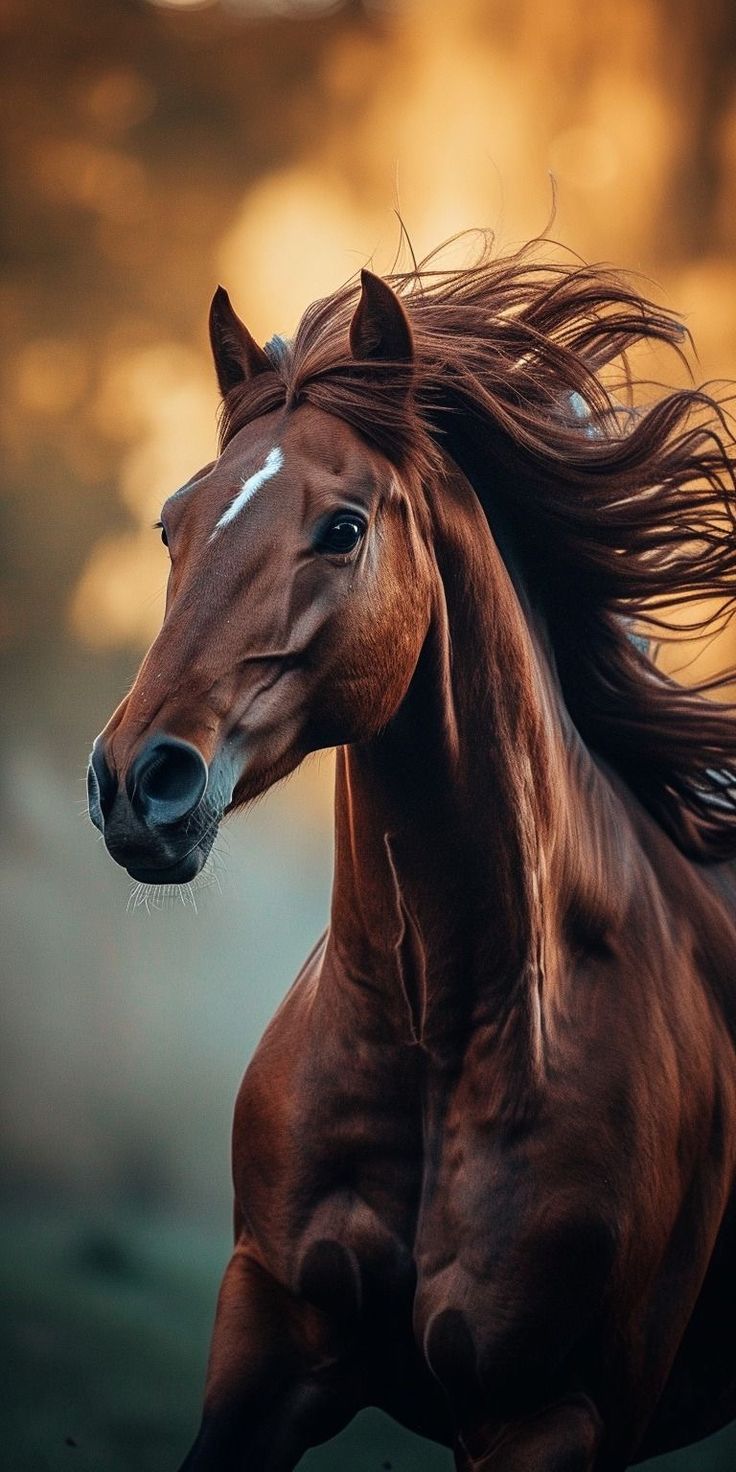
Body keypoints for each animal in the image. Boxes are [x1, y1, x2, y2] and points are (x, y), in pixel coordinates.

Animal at [87, 235, 736, 1466]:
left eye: (342, 527)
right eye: (172, 524)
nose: (137, 785)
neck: (446, 1030)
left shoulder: (549, 1415)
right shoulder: (261, 1347)